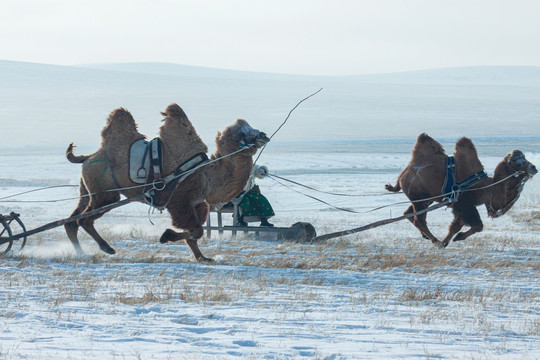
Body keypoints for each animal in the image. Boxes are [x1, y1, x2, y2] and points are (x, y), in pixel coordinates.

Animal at [66, 102, 270, 260]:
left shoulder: (197, 203)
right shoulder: (180, 200)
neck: (206, 174)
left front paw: (202, 257)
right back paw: (105, 248)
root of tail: (88, 158)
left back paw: (81, 252)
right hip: (105, 192)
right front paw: (166, 236)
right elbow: (197, 230)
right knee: (84, 219)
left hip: (88, 189)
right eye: (243, 132)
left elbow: (196, 232)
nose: (264, 135)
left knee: (71, 221)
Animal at [384, 134, 536, 249]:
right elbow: (477, 225)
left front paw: (450, 240)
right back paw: (435, 241)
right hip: (419, 198)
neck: (485, 187)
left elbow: (457, 226)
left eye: (525, 158)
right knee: (419, 219)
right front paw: (451, 240)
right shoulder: (463, 202)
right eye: (517, 162)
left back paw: (427, 237)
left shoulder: (461, 206)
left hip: (426, 199)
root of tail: (403, 174)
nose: (534, 168)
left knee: (409, 214)